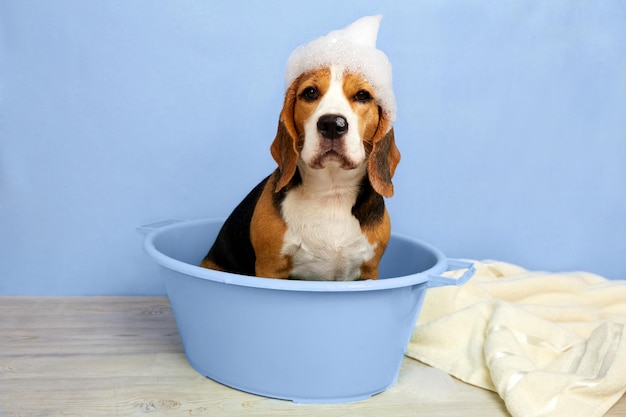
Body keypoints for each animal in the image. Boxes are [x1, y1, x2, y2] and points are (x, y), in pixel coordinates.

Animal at [200, 65, 400, 280]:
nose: (332, 124)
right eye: (310, 93)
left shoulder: (369, 271)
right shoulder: (270, 268)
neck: (331, 191)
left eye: (362, 95)